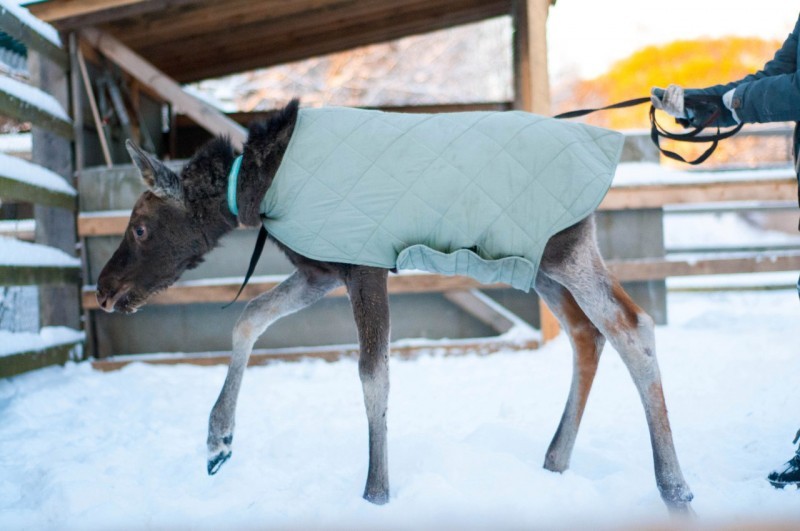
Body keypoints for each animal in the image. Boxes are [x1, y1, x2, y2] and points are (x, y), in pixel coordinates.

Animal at [95, 100, 692, 516]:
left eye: (140, 227)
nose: (103, 288)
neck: (256, 191)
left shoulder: (363, 265)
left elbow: (372, 375)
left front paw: (376, 492)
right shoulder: (320, 270)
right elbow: (248, 319)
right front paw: (218, 439)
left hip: (564, 251)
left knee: (632, 326)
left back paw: (674, 487)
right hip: (536, 264)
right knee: (586, 335)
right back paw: (556, 458)